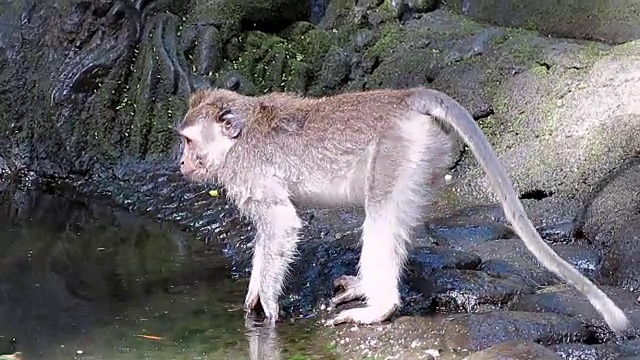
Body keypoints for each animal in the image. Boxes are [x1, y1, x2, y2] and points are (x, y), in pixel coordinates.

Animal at [175, 86, 632, 334]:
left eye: (188, 141)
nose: (180, 163)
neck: (239, 138)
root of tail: (403, 98)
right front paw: (253, 295)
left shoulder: (247, 171)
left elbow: (282, 226)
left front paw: (266, 306)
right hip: (427, 153)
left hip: (399, 149)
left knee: (381, 213)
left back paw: (380, 307)